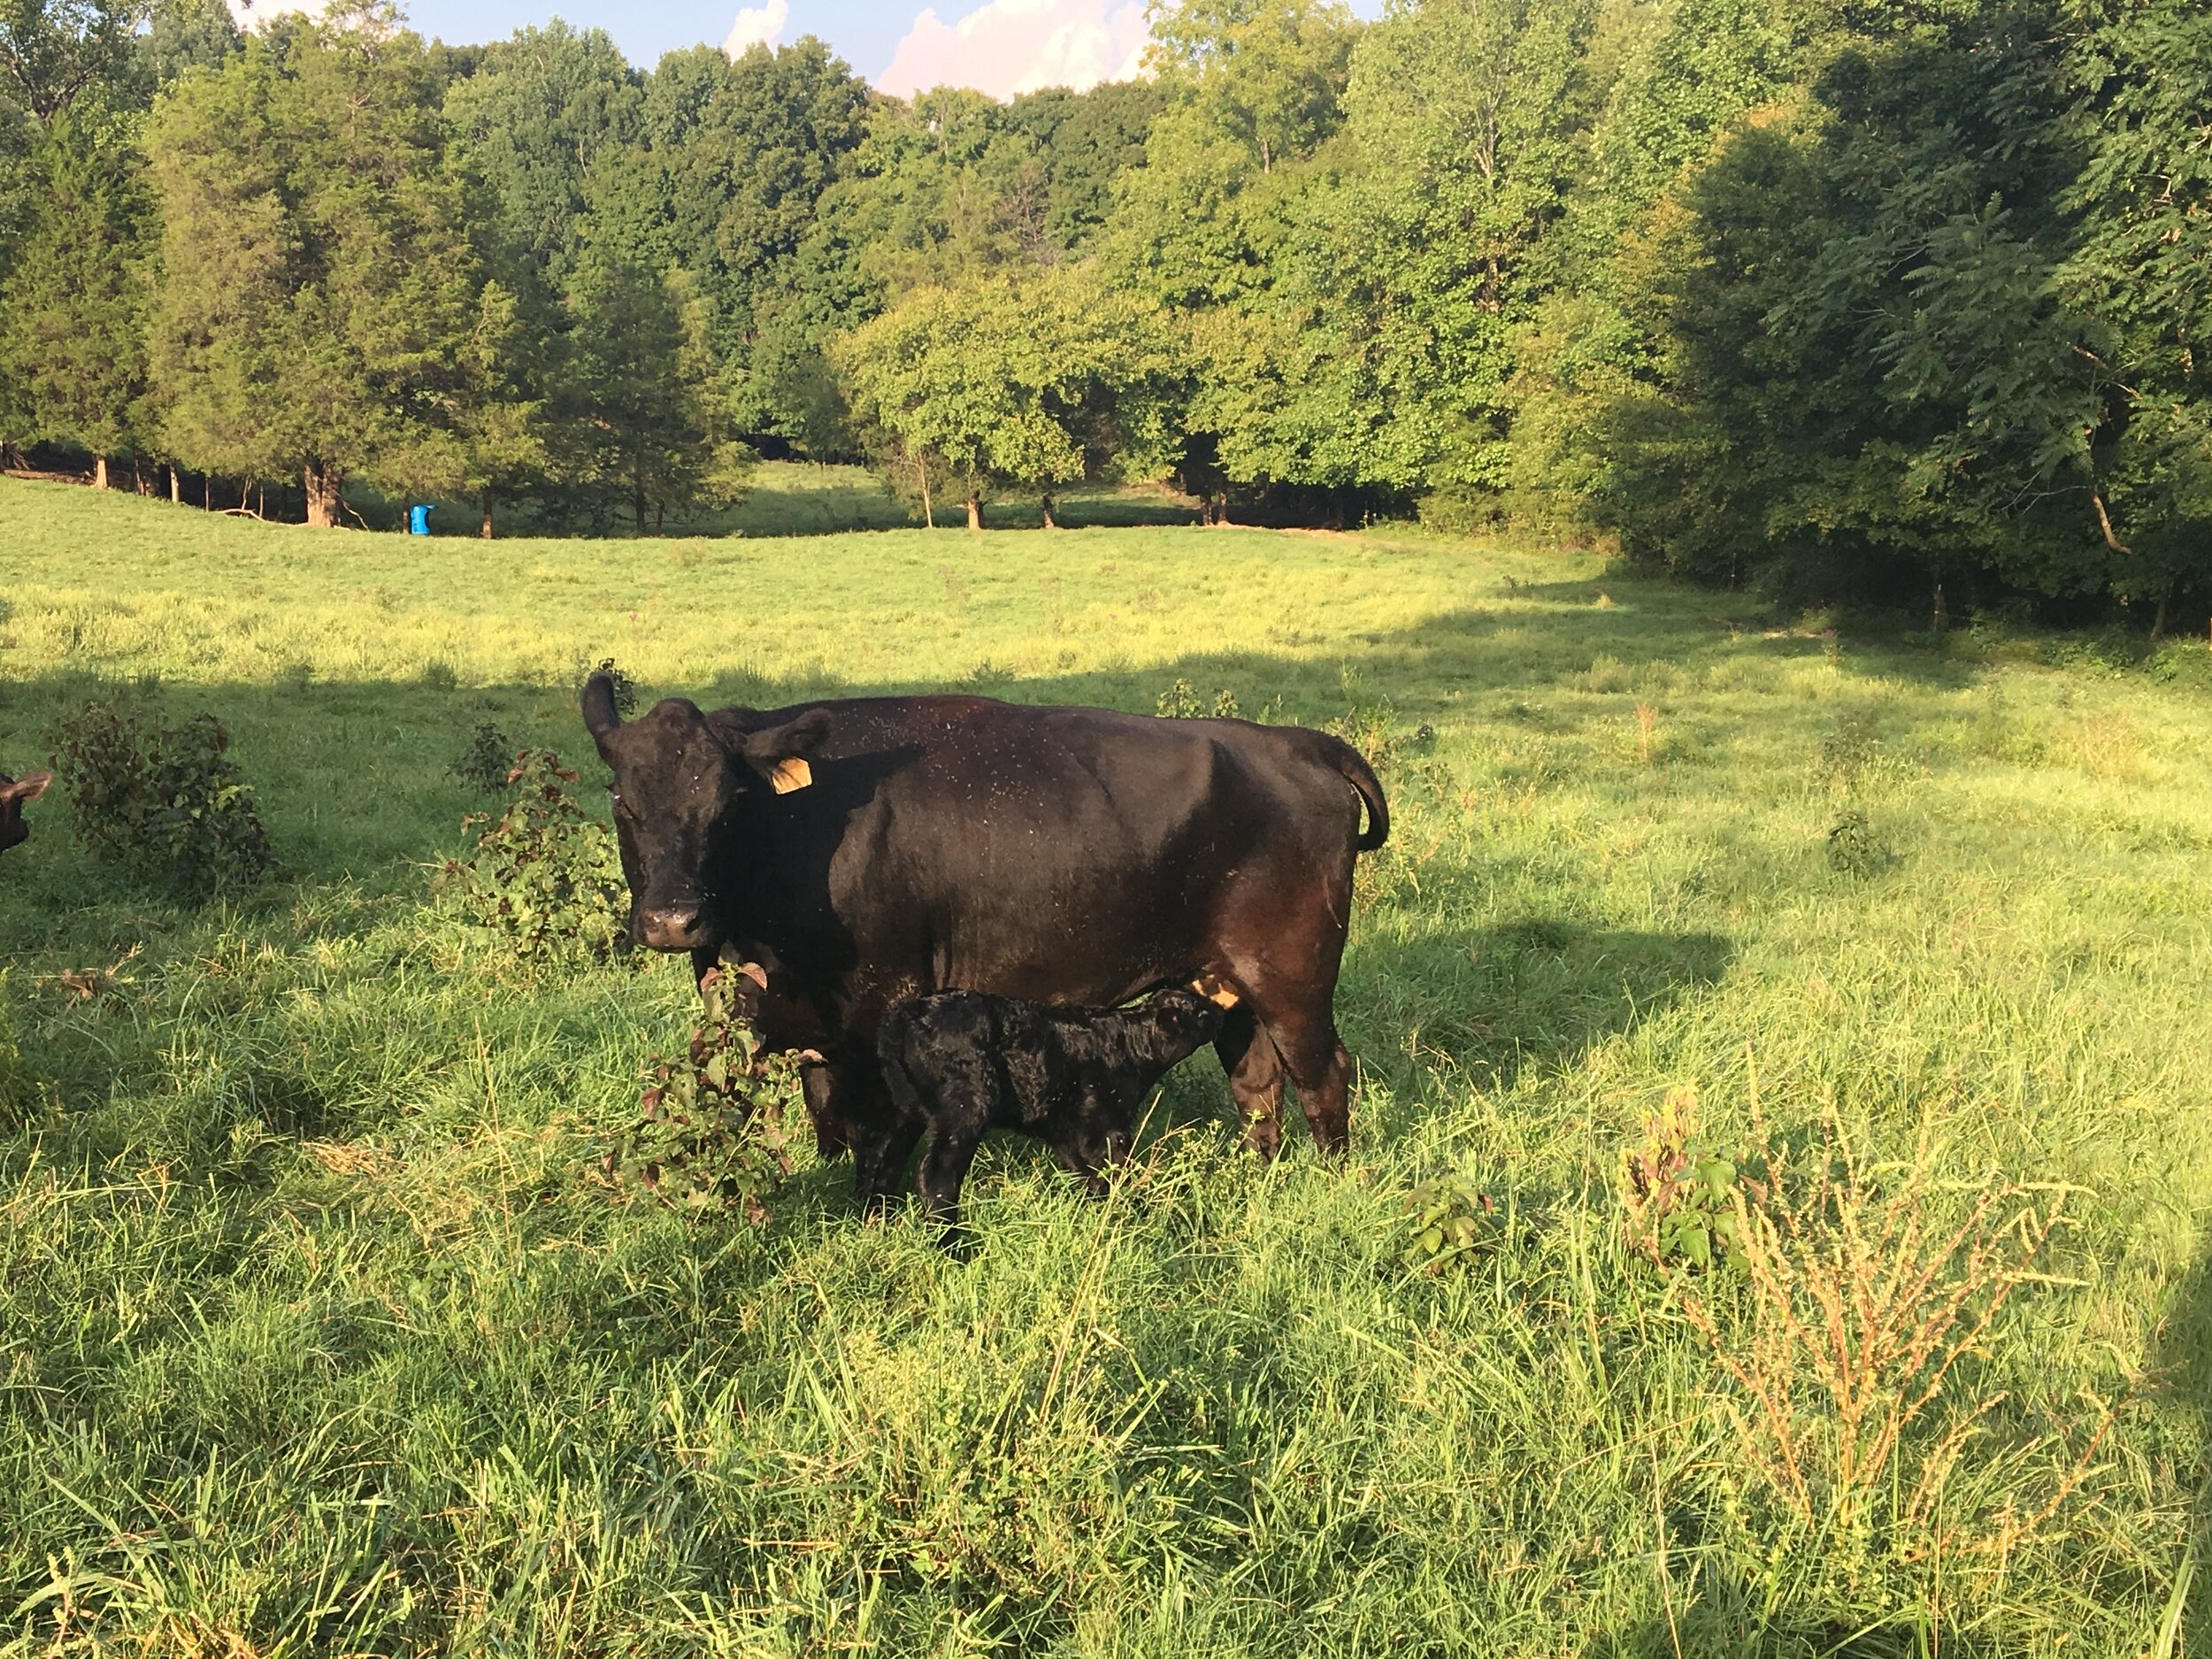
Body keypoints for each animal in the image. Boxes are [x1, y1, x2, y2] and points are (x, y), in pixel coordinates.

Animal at [580, 676, 1388, 1211]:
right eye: (622, 799)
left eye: (729, 800)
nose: (673, 919)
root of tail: (1293, 743)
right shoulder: (805, 1026)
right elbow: (827, 1117)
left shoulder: (881, 1007)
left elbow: (877, 1135)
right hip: (1230, 982)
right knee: (1256, 1081)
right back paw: (1262, 1177)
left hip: (1294, 977)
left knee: (1323, 1076)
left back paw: (1333, 1187)